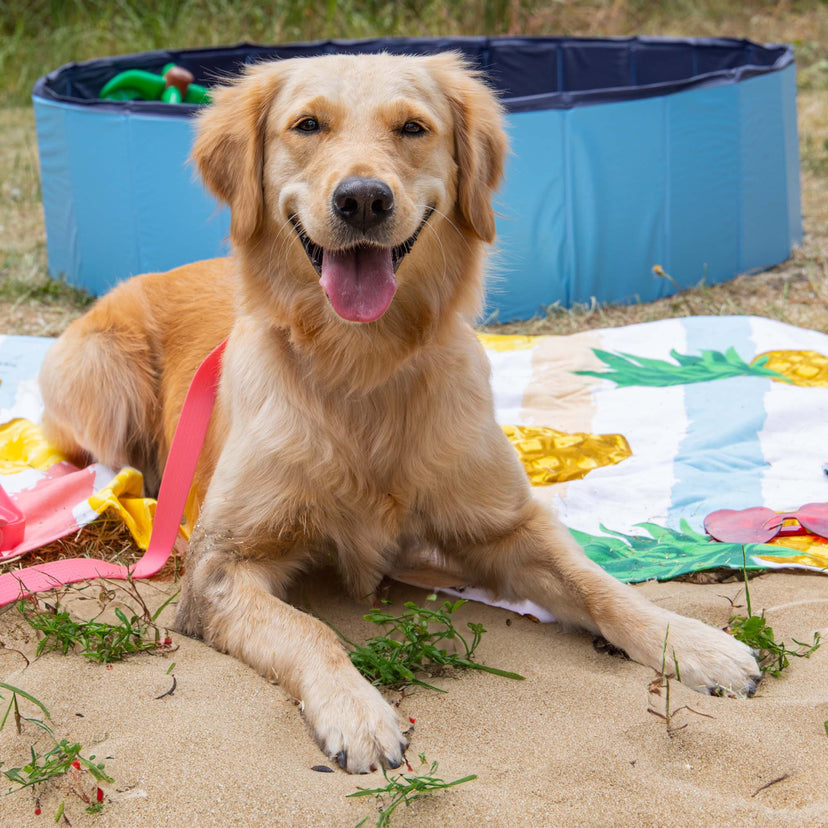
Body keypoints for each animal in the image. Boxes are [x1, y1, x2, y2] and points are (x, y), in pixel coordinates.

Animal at [40, 55, 764, 772]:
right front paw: (356, 712)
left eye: (413, 127)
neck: (364, 368)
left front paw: (692, 642)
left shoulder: (507, 525)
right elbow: (308, 629)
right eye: (307, 125)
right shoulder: (221, 563)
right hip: (105, 380)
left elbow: (599, 583)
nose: (363, 199)